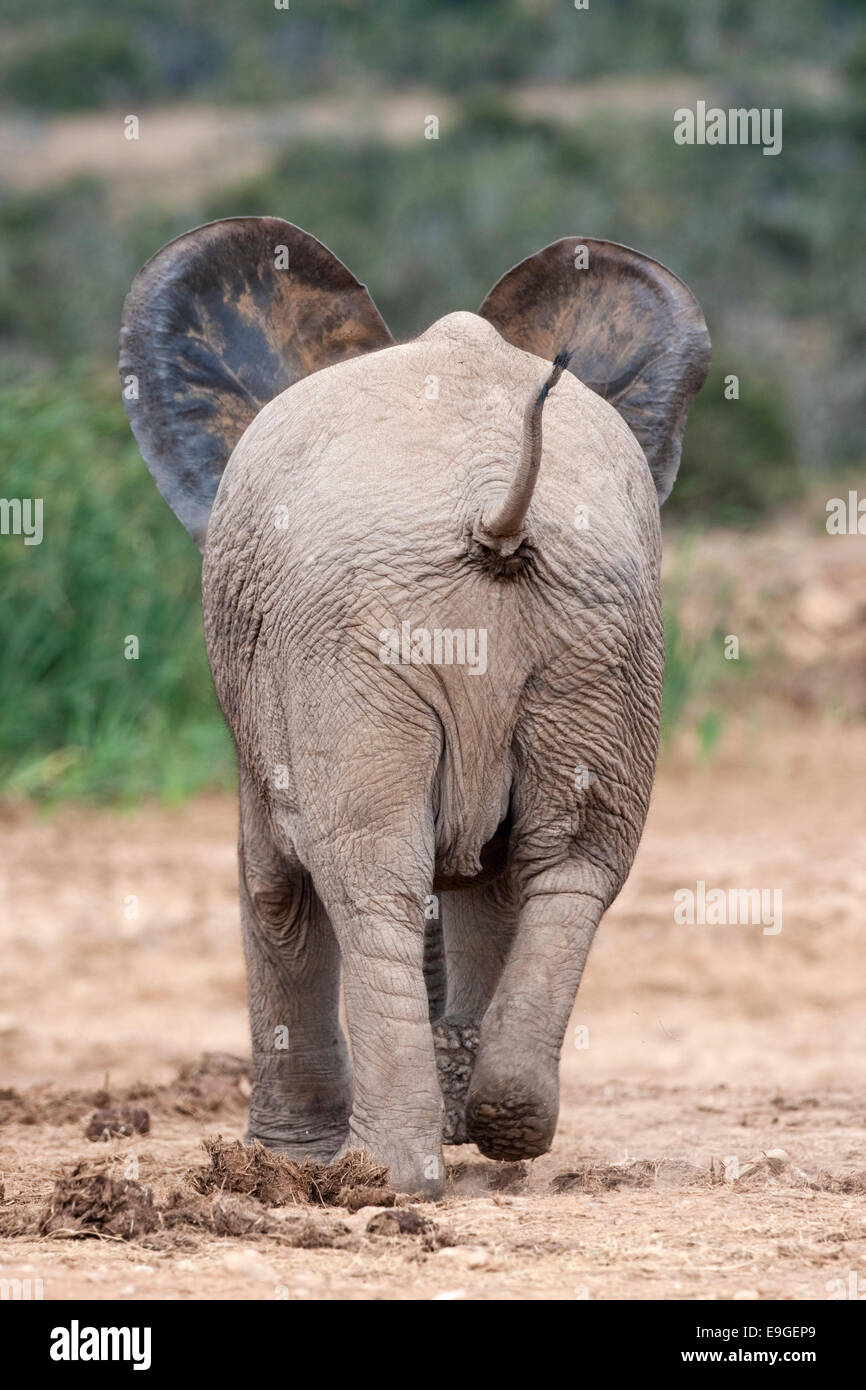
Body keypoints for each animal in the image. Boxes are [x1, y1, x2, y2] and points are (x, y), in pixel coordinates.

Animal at [118, 216, 708, 1195]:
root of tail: (495, 508)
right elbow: (491, 886)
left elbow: (271, 883)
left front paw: (286, 1158)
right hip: (598, 642)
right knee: (571, 864)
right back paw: (504, 1122)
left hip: (358, 638)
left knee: (371, 877)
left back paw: (380, 1175)